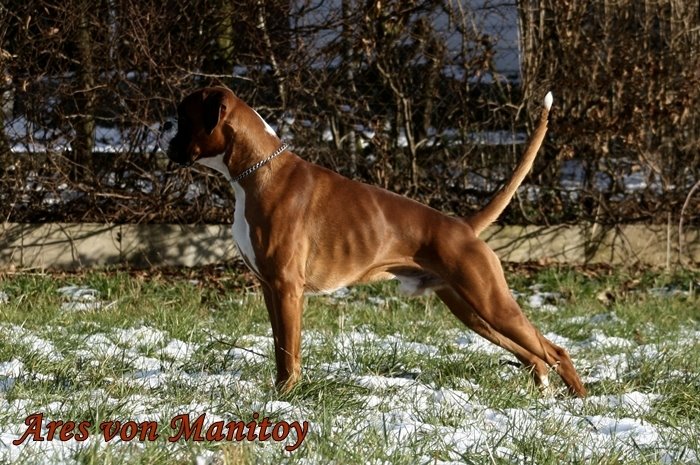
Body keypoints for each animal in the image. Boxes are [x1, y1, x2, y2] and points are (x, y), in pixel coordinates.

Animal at [167, 86, 586, 397]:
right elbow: (279, 347)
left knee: (555, 350)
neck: (256, 172)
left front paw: (285, 398)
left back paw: (579, 403)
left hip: (491, 303)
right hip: (471, 311)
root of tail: (462, 226)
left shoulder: (287, 289)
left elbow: (289, 352)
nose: (167, 146)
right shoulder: (272, 289)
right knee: (533, 355)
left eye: (182, 118)